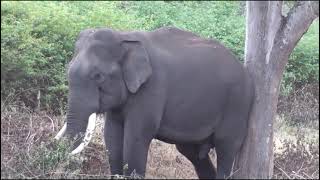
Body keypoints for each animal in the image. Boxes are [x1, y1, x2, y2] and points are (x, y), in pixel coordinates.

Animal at [55, 26, 255, 179]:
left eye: (98, 76)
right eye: (67, 69)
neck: (124, 36)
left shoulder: (152, 89)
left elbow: (135, 138)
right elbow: (112, 137)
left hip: (238, 103)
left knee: (226, 147)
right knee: (191, 152)